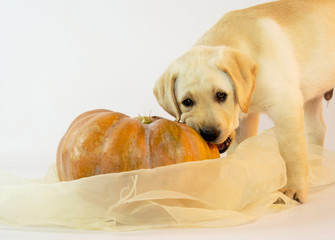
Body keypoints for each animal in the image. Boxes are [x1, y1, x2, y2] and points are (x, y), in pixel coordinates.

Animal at [154, 0, 335, 203]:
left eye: (221, 95)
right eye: (187, 102)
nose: (209, 133)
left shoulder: (286, 107)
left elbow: (291, 152)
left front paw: (293, 189)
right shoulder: (245, 121)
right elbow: (240, 152)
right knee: (317, 128)